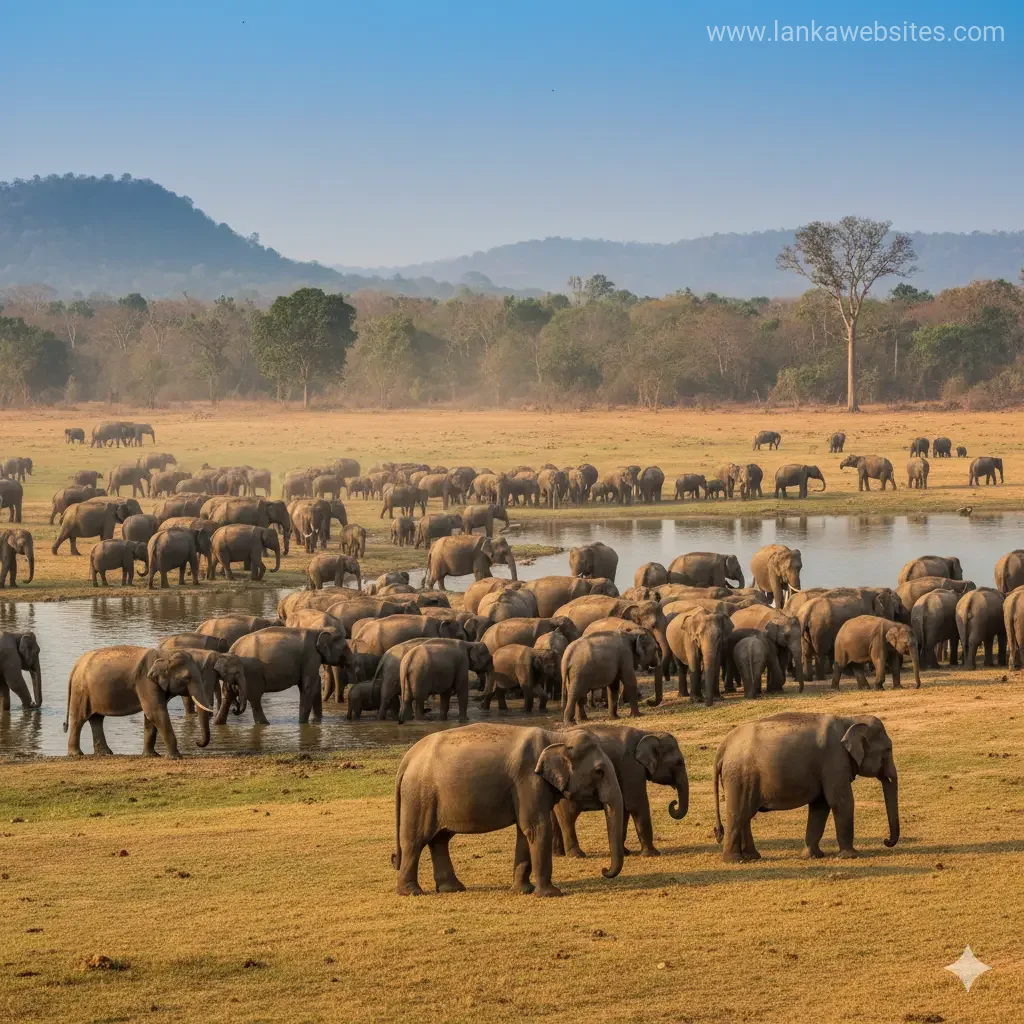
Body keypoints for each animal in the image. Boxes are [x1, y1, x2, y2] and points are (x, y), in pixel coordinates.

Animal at [63, 647, 214, 758]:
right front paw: (176, 757)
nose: (197, 741)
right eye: (187, 678)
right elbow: (155, 712)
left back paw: (105, 753)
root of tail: (76, 666)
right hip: (81, 690)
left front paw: (152, 755)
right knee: (79, 719)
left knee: (96, 719)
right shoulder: (145, 681)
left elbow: (151, 716)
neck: (164, 654)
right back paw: (76, 754)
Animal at [393, 723, 624, 896]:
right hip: (419, 796)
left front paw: (523, 890)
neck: (557, 737)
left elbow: (526, 831)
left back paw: (452, 888)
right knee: (415, 840)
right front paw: (551, 893)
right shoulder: (528, 780)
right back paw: (412, 892)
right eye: (599, 771)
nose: (604, 870)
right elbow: (537, 827)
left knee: (440, 839)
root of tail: (407, 758)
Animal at [552, 726, 687, 859]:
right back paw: (577, 855)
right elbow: (636, 804)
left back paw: (557, 854)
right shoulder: (630, 765)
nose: (674, 803)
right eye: (679, 762)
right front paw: (652, 854)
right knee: (568, 816)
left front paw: (625, 852)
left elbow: (623, 808)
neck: (646, 733)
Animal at [714, 712, 899, 861]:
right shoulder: (834, 760)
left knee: (745, 815)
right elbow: (840, 802)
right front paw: (851, 856)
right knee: (738, 813)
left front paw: (813, 855)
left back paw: (752, 857)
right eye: (888, 749)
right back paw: (735, 860)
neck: (850, 719)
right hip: (739, 776)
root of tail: (724, 746)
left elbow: (820, 806)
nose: (886, 841)